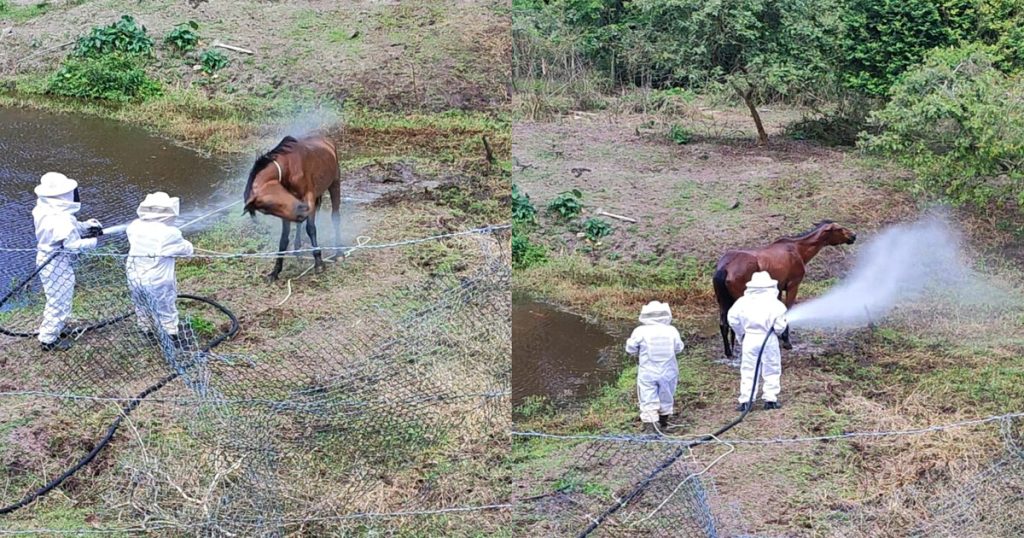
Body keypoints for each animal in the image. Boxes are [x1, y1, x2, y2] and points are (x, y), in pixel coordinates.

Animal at [241, 133, 342, 280]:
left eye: (270, 203)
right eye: (266, 210)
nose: (302, 211)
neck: (289, 166)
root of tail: (327, 141)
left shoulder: (309, 197)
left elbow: (311, 228)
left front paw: (319, 263)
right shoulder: (289, 212)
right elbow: (283, 239)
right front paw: (275, 271)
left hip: (334, 183)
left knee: (335, 217)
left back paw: (339, 253)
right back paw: (297, 249)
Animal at [712, 220, 856, 354]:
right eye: (839, 228)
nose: (854, 235)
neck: (798, 249)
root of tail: (725, 268)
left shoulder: (779, 289)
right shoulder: (793, 286)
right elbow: (787, 311)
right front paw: (786, 341)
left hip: (723, 301)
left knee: (723, 324)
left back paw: (729, 352)